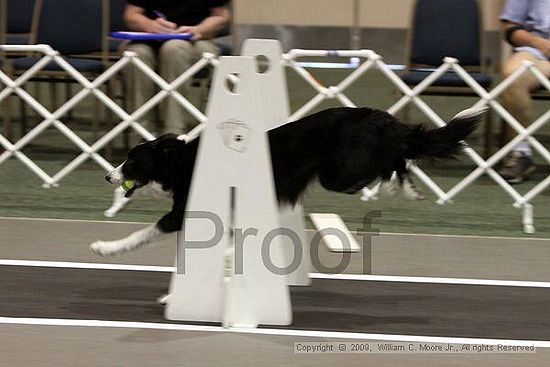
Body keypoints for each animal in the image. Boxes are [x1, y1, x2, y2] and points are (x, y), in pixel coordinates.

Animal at [91, 105, 488, 256]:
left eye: (132, 162)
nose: (108, 175)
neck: (179, 160)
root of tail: (382, 117)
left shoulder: (181, 213)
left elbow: (144, 232)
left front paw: (105, 247)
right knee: (399, 156)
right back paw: (406, 188)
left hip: (339, 174)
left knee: (394, 158)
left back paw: (400, 187)